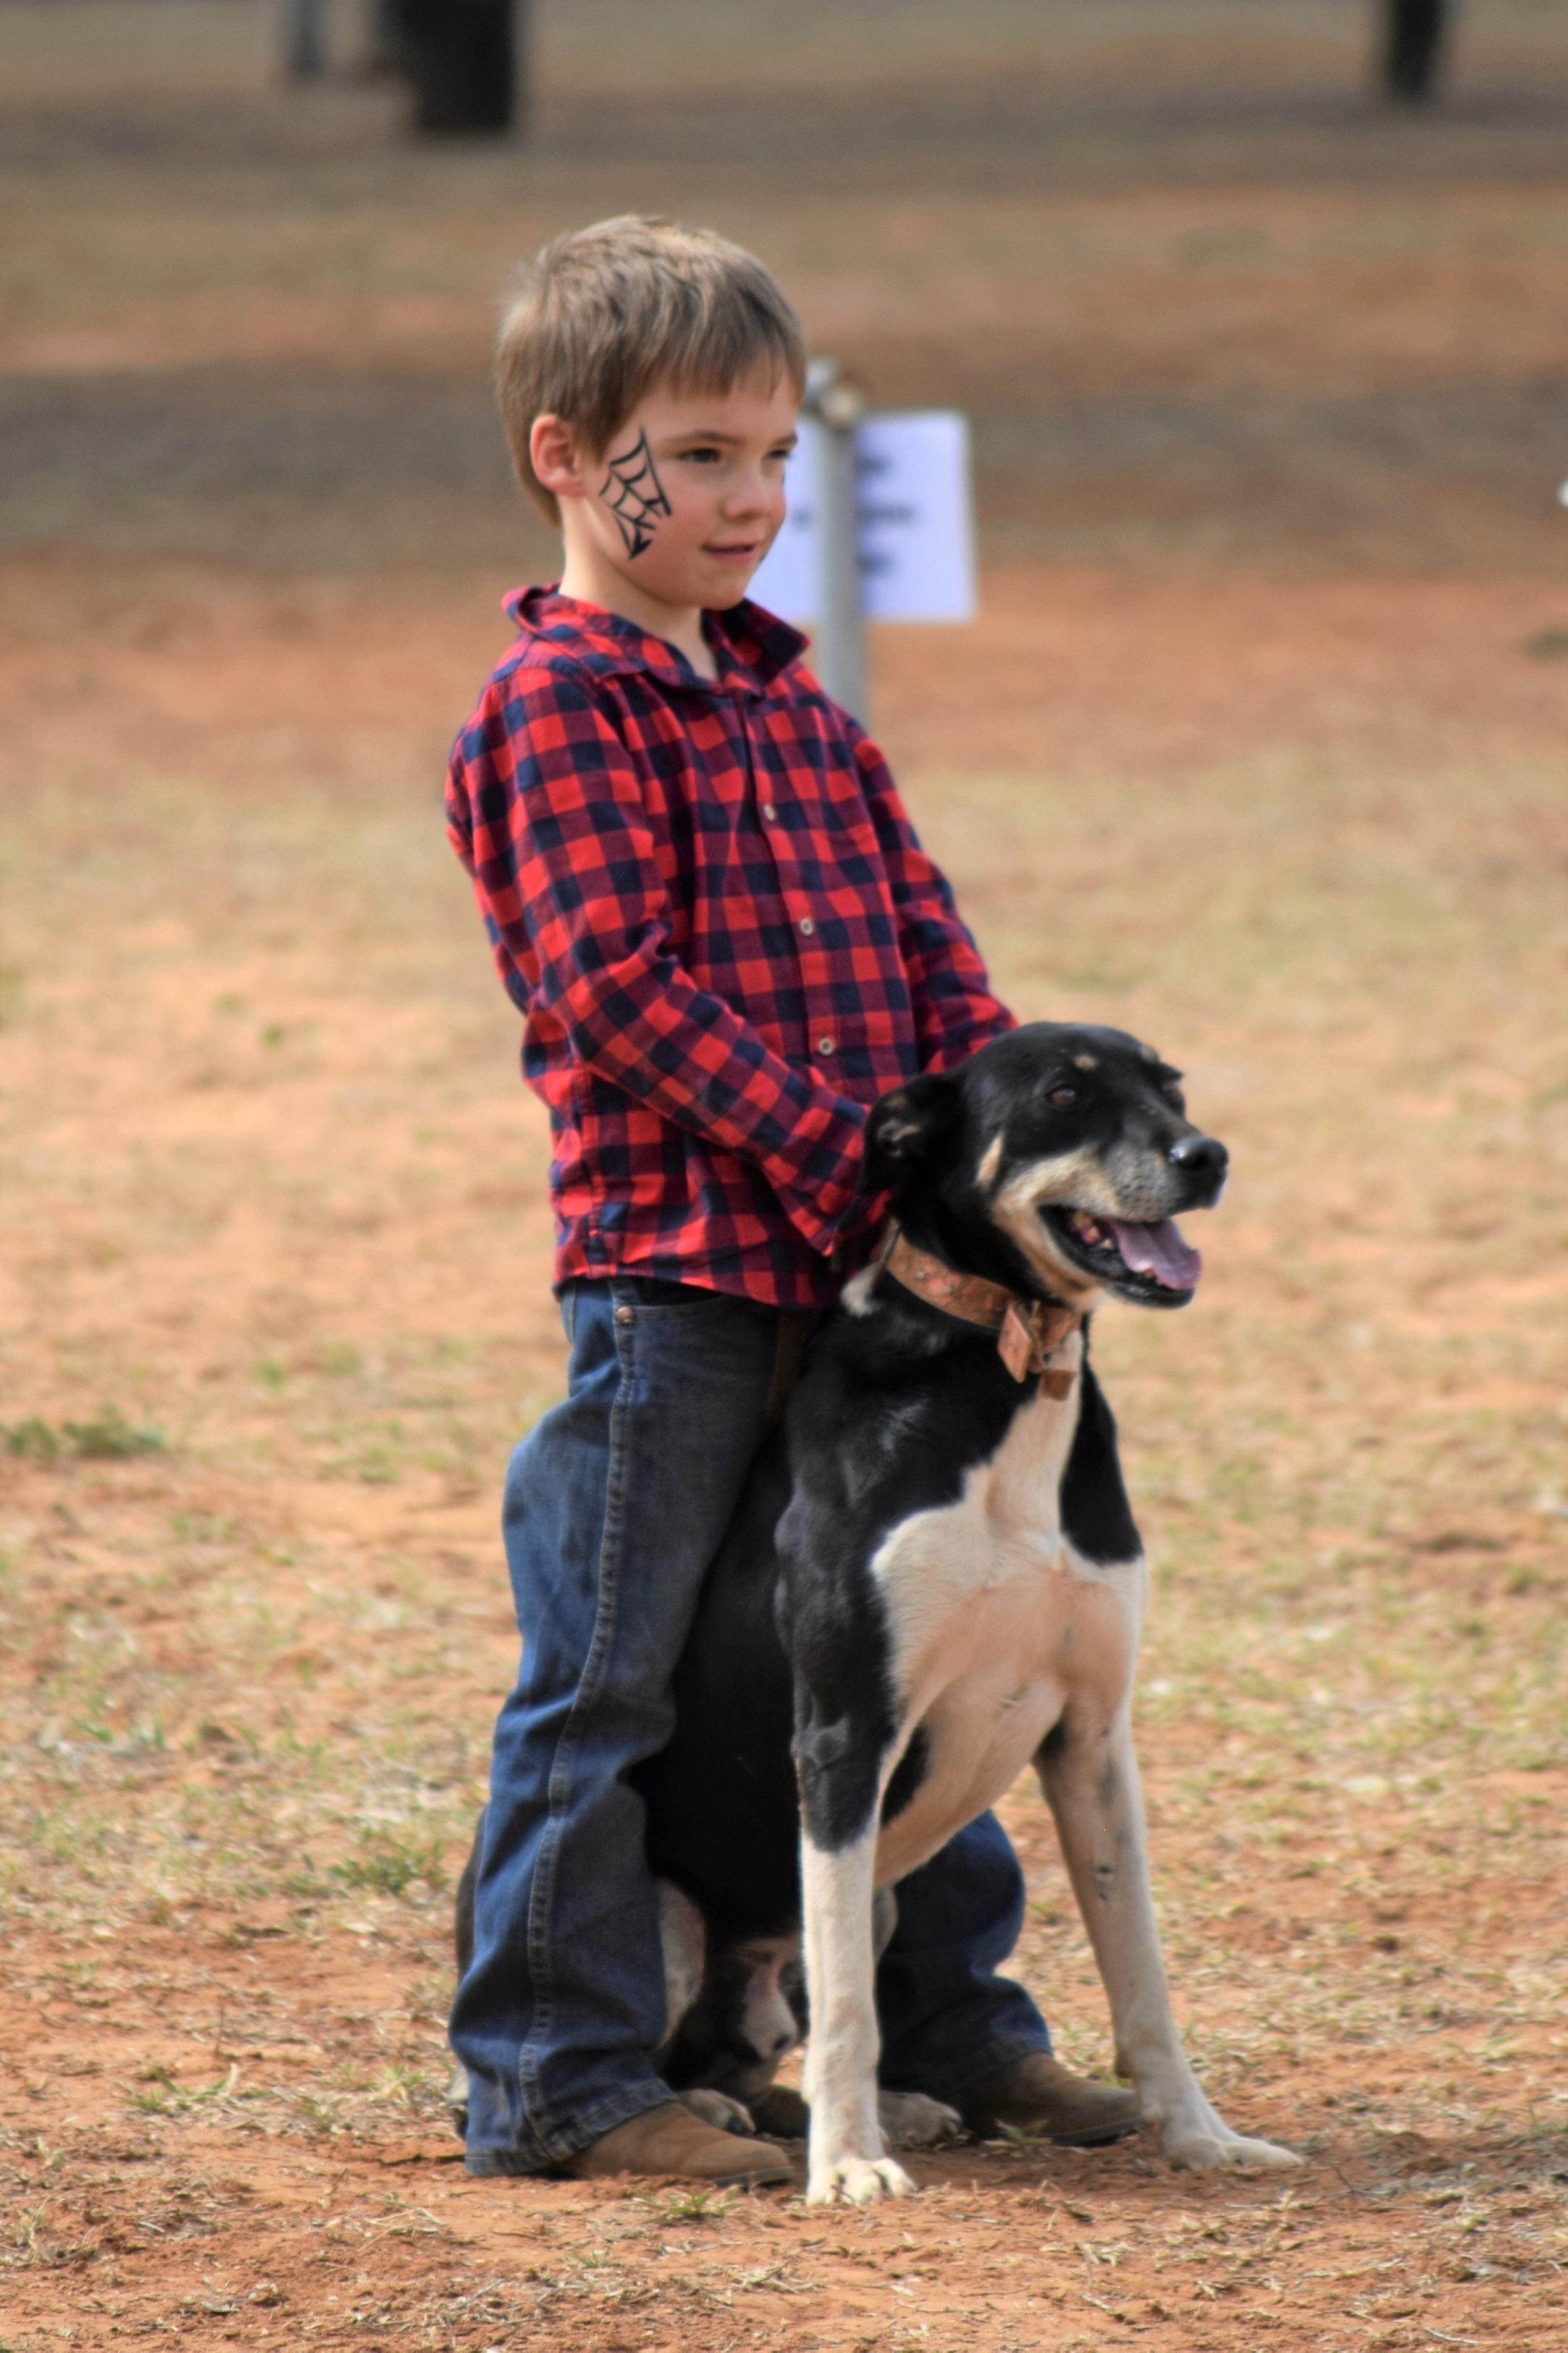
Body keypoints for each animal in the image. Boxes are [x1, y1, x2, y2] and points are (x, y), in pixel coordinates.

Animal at [459, 1030, 1299, 2202]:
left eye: (1169, 1088)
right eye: (1063, 1095)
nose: (1205, 1155)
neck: (1005, 1367)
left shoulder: (1092, 1738)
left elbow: (1141, 1976)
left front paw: (1198, 2136)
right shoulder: (844, 1732)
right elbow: (853, 2004)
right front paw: (849, 2164)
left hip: (874, 1893)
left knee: (769, 2036)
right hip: (673, 1914)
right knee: (700, 2044)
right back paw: (713, 2118)